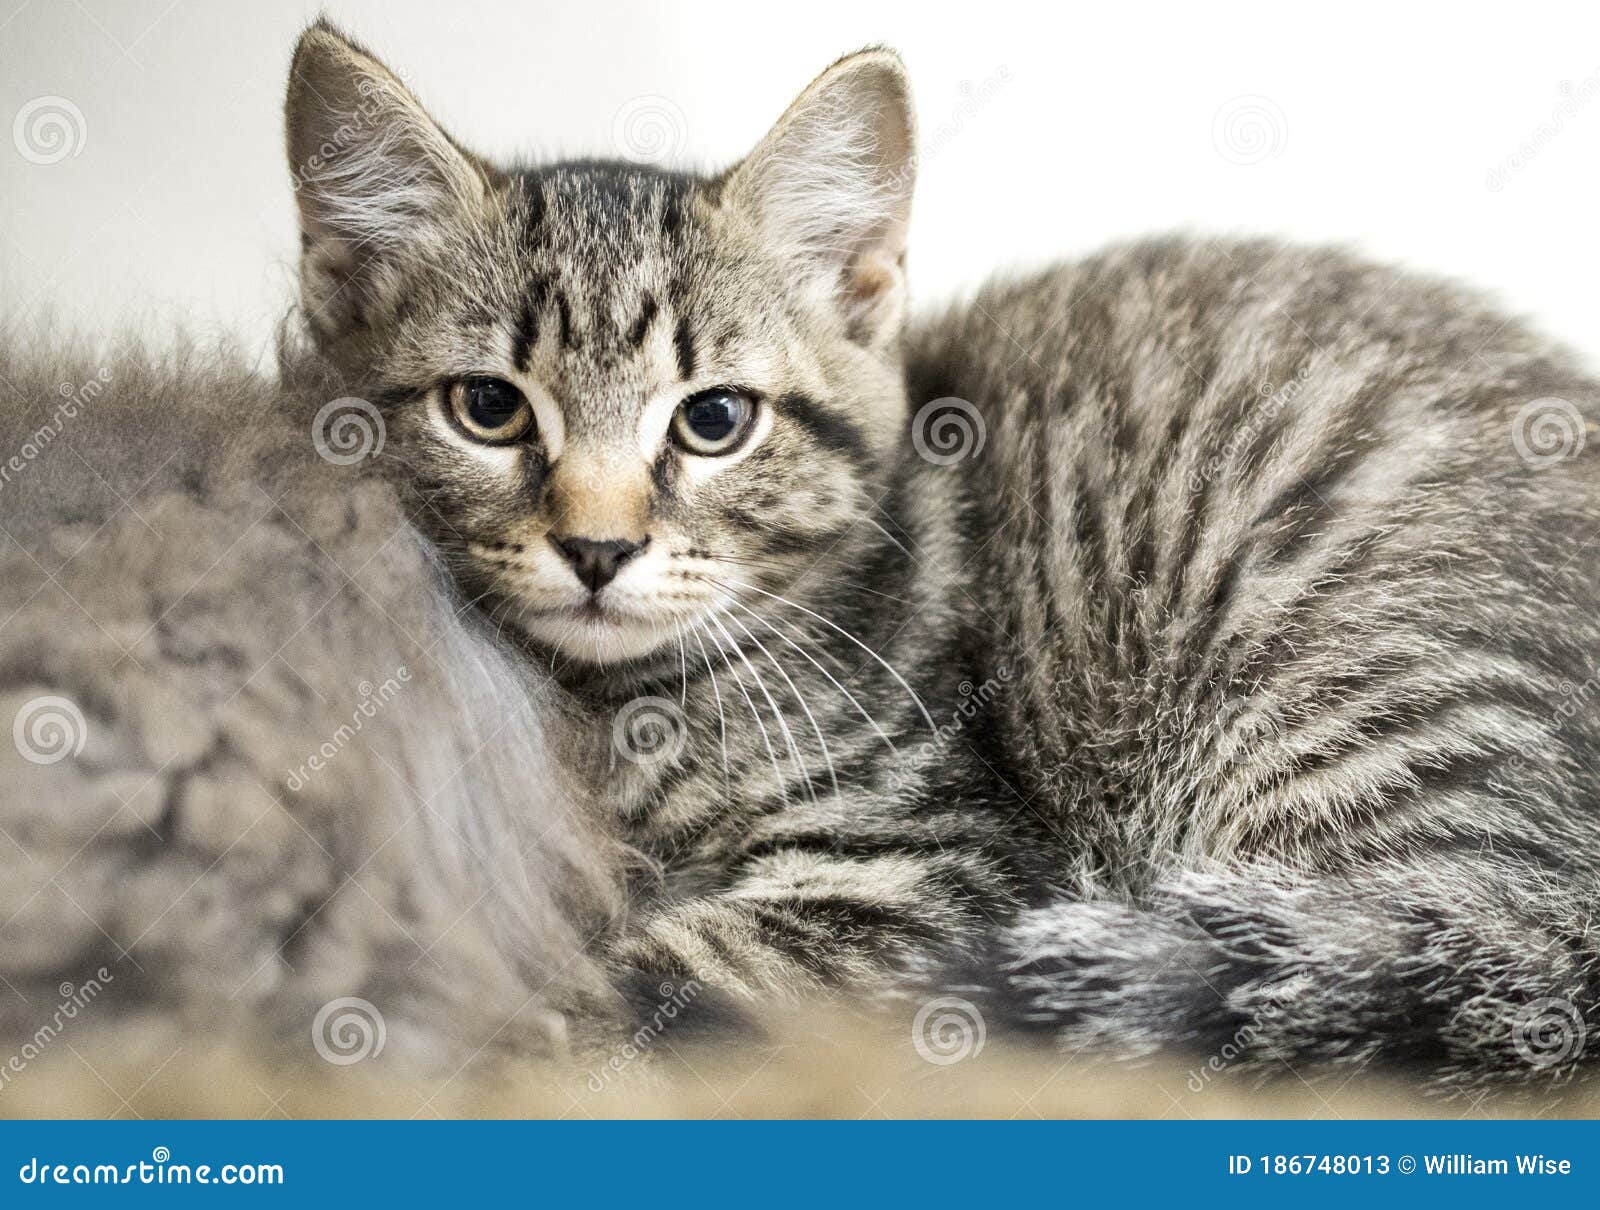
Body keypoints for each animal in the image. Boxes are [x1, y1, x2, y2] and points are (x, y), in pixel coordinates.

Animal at [284, 21, 1600, 1088]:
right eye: (486, 409)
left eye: (714, 420)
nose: (597, 546)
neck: (619, 703)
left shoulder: (932, 855)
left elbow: (649, 964)